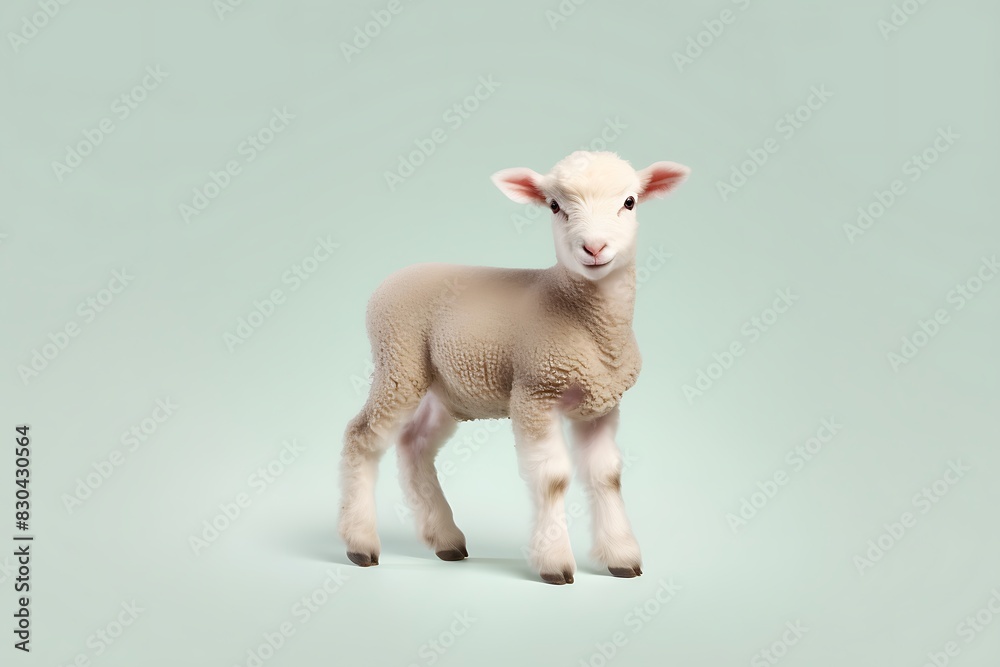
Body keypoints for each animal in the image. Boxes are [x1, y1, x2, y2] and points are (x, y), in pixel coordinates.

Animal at [338, 151, 690, 584]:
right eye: (554, 206)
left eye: (629, 202)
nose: (593, 247)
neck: (583, 318)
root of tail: (394, 276)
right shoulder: (535, 392)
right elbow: (553, 479)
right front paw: (554, 562)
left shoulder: (602, 405)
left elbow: (607, 476)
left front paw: (621, 556)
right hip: (398, 360)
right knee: (362, 436)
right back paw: (360, 543)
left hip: (445, 388)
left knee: (415, 444)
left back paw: (445, 539)